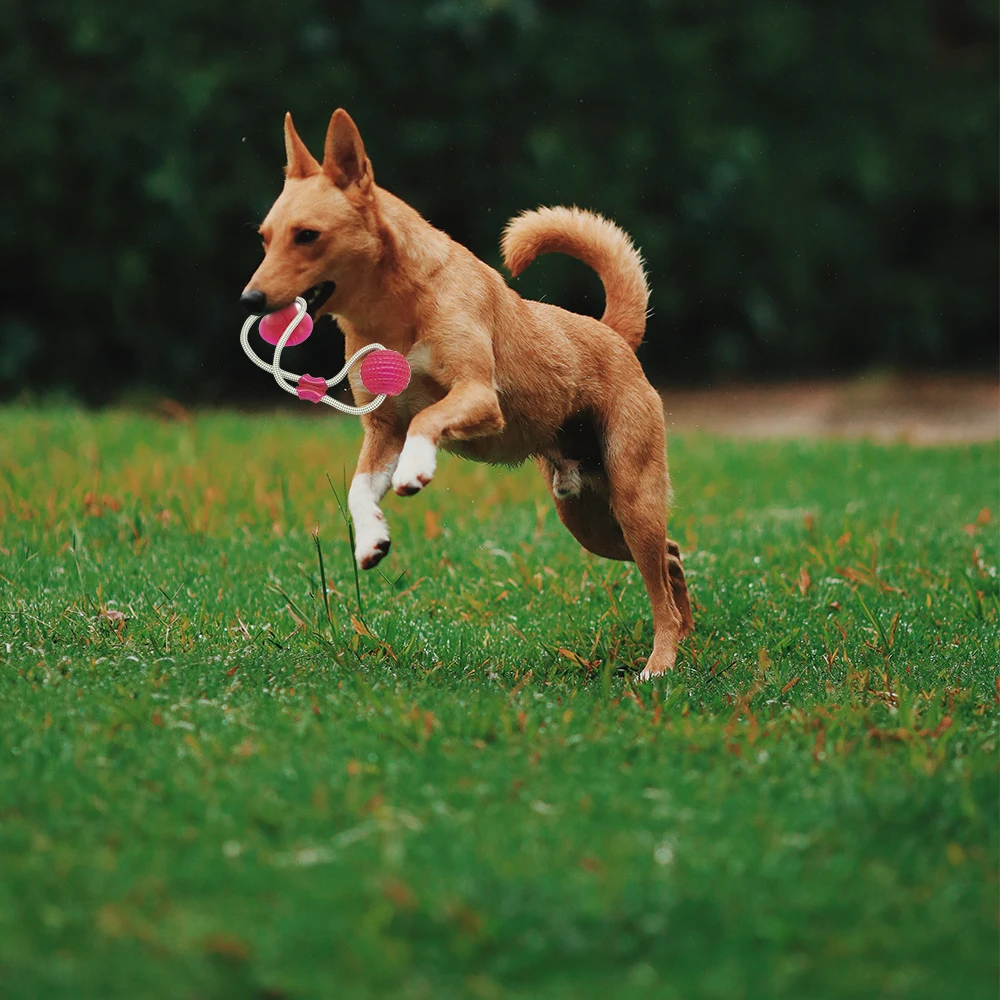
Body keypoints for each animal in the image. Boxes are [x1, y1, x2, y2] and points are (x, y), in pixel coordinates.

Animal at [242, 109, 696, 680]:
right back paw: (688, 639)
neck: (395, 312)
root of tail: (611, 333)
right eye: (264, 238)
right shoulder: (381, 429)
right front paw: (371, 539)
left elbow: (427, 421)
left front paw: (416, 470)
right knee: (671, 558)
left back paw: (661, 663)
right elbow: (358, 487)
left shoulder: (478, 396)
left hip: (633, 497)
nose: (249, 299)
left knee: (659, 583)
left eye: (307, 236)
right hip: (587, 519)